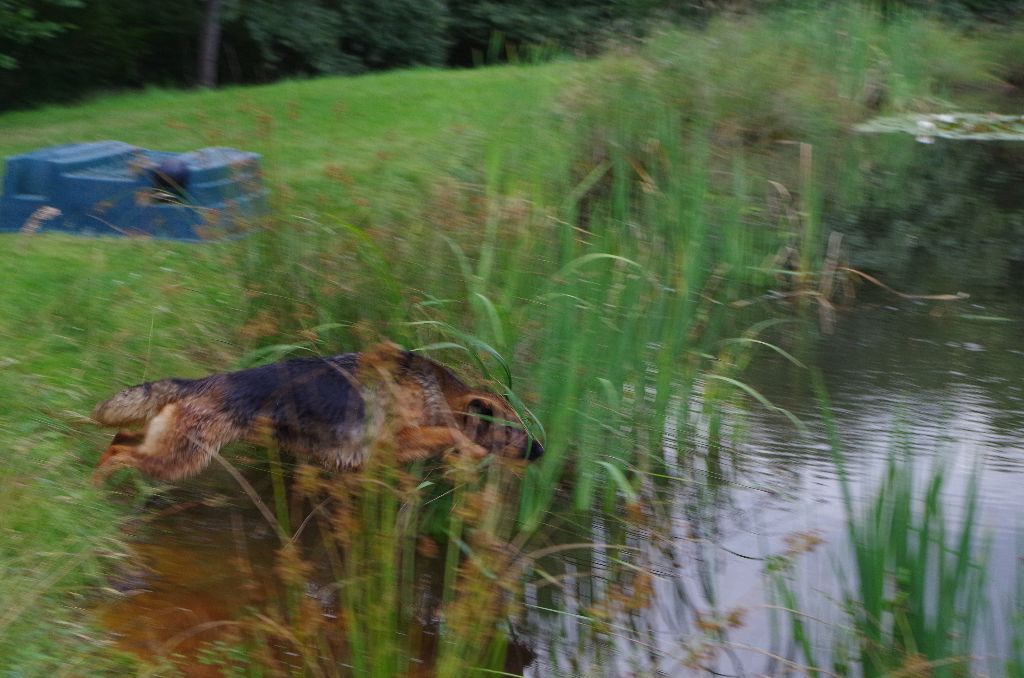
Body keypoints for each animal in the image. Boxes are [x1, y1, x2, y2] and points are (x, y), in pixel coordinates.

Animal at [93, 346, 544, 483]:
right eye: (516, 431)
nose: (542, 451)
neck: (437, 394)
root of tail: (199, 383)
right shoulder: (394, 441)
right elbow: (452, 435)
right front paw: (469, 452)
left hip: (170, 449)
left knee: (120, 440)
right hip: (181, 458)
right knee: (118, 451)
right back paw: (96, 487)